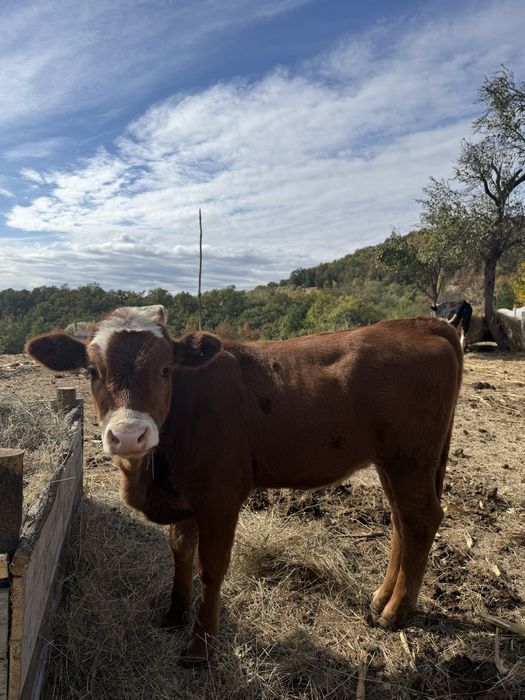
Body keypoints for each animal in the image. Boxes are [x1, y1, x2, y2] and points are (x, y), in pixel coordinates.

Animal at [26, 306, 463, 663]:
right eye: (92, 372)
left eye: (166, 370)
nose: (130, 435)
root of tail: (417, 324)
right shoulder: (183, 499)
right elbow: (180, 554)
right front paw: (174, 614)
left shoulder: (219, 499)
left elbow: (211, 569)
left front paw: (200, 645)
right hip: (393, 463)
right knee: (401, 522)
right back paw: (381, 597)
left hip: (410, 459)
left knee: (421, 520)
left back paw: (395, 612)